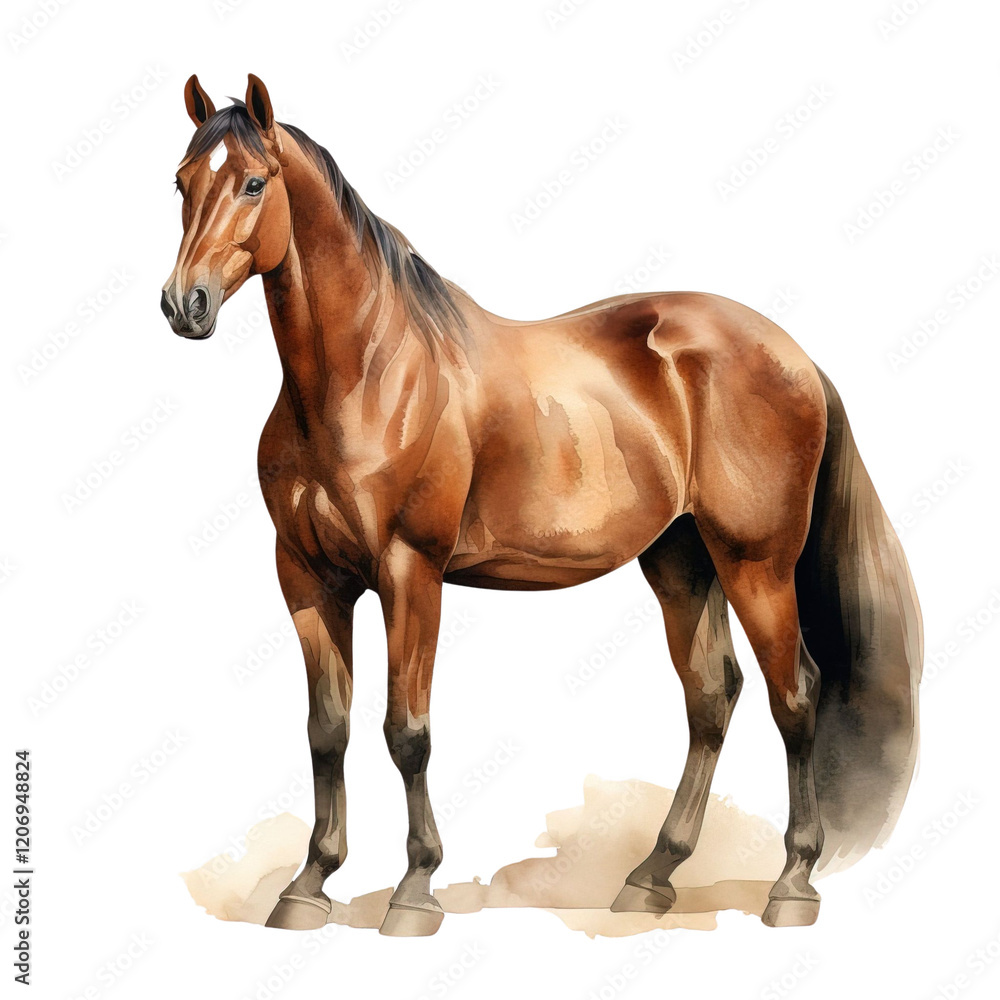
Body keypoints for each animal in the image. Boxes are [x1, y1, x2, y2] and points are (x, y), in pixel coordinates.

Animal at [161, 74, 922, 936]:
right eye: (181, 184)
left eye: (254, 182)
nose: (183, 304)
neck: (366, 375)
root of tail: (793, 354)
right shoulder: (306, 578)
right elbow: (328, 730)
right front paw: (308, 884)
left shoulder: (410, 572)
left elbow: (406, 731)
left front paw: (415, 890)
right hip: (681, 559)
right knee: (711, 697)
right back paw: (652, 877)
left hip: (756, 563)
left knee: (794, 694)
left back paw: (792, 883)